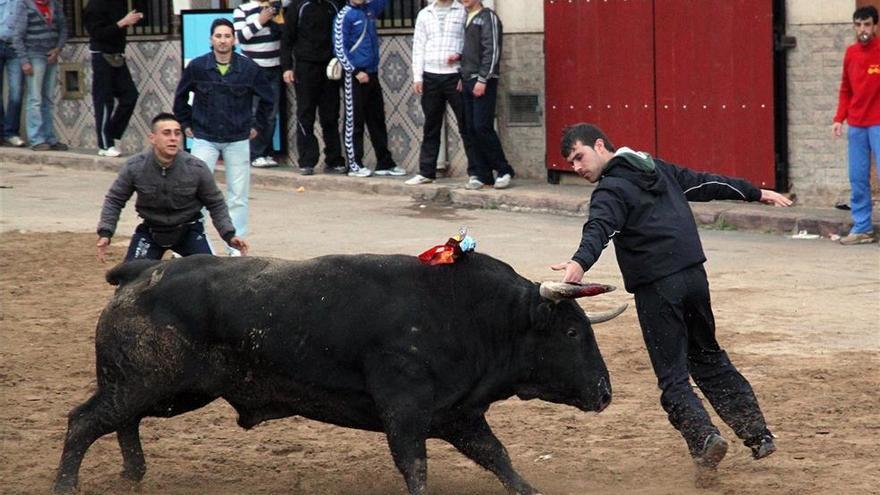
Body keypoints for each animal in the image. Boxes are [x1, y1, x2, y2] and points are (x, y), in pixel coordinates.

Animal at [53, 254, 624, 495]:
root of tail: (138, 272)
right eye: (572, 332)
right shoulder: (405, 410)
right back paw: (67, 485)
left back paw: (134, 474)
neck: (474, 315)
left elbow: (498, 457)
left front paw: (529, 490)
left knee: (120, 422)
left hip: (164, 390)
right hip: (147, 382)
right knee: (85, 421)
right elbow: (415, 465)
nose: (604, 392)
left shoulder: (458, 414)